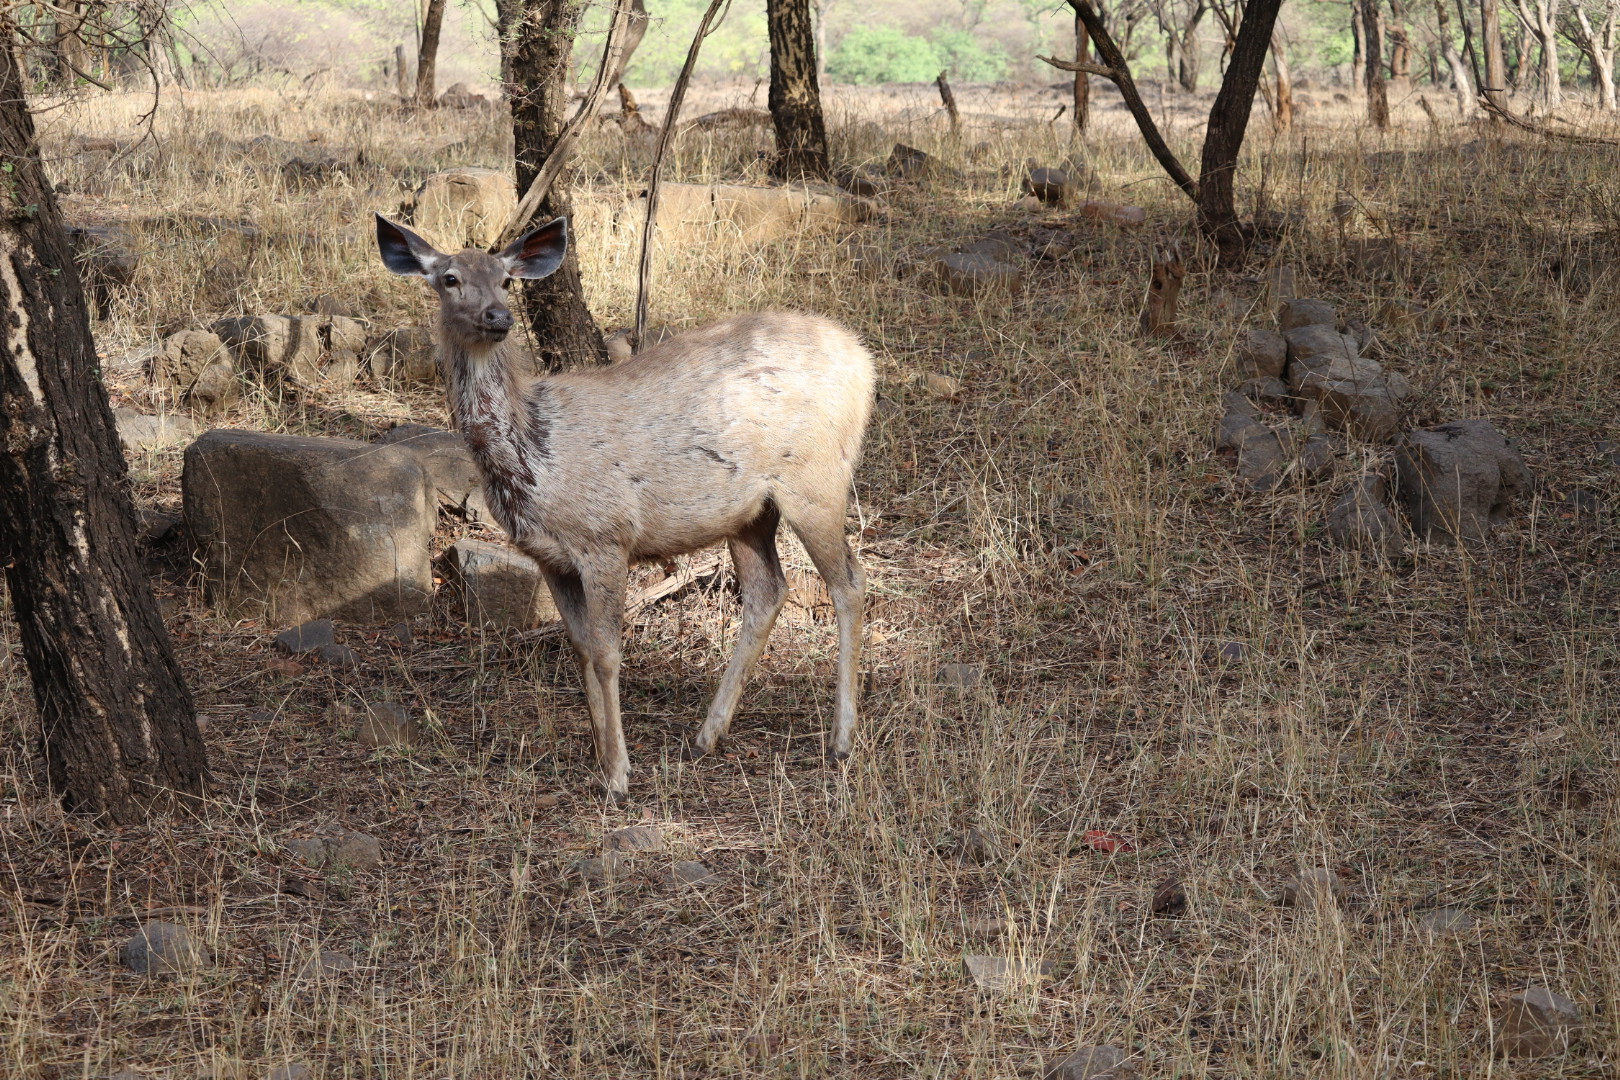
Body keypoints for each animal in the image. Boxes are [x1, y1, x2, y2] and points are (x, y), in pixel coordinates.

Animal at [375, 213, 874, 801]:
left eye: (505, 279)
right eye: (449, 278)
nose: (497, 316)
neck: (534, 457)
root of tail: (865, 363)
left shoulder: (606, 536)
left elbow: (609, 652)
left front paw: (618, 773)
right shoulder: (549, 557)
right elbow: (580, 648)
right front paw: (598, 751)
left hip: (817, 479)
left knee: (849, 583)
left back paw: (841, 740)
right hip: (750, 513)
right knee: (768, 592)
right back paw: (707, 735)